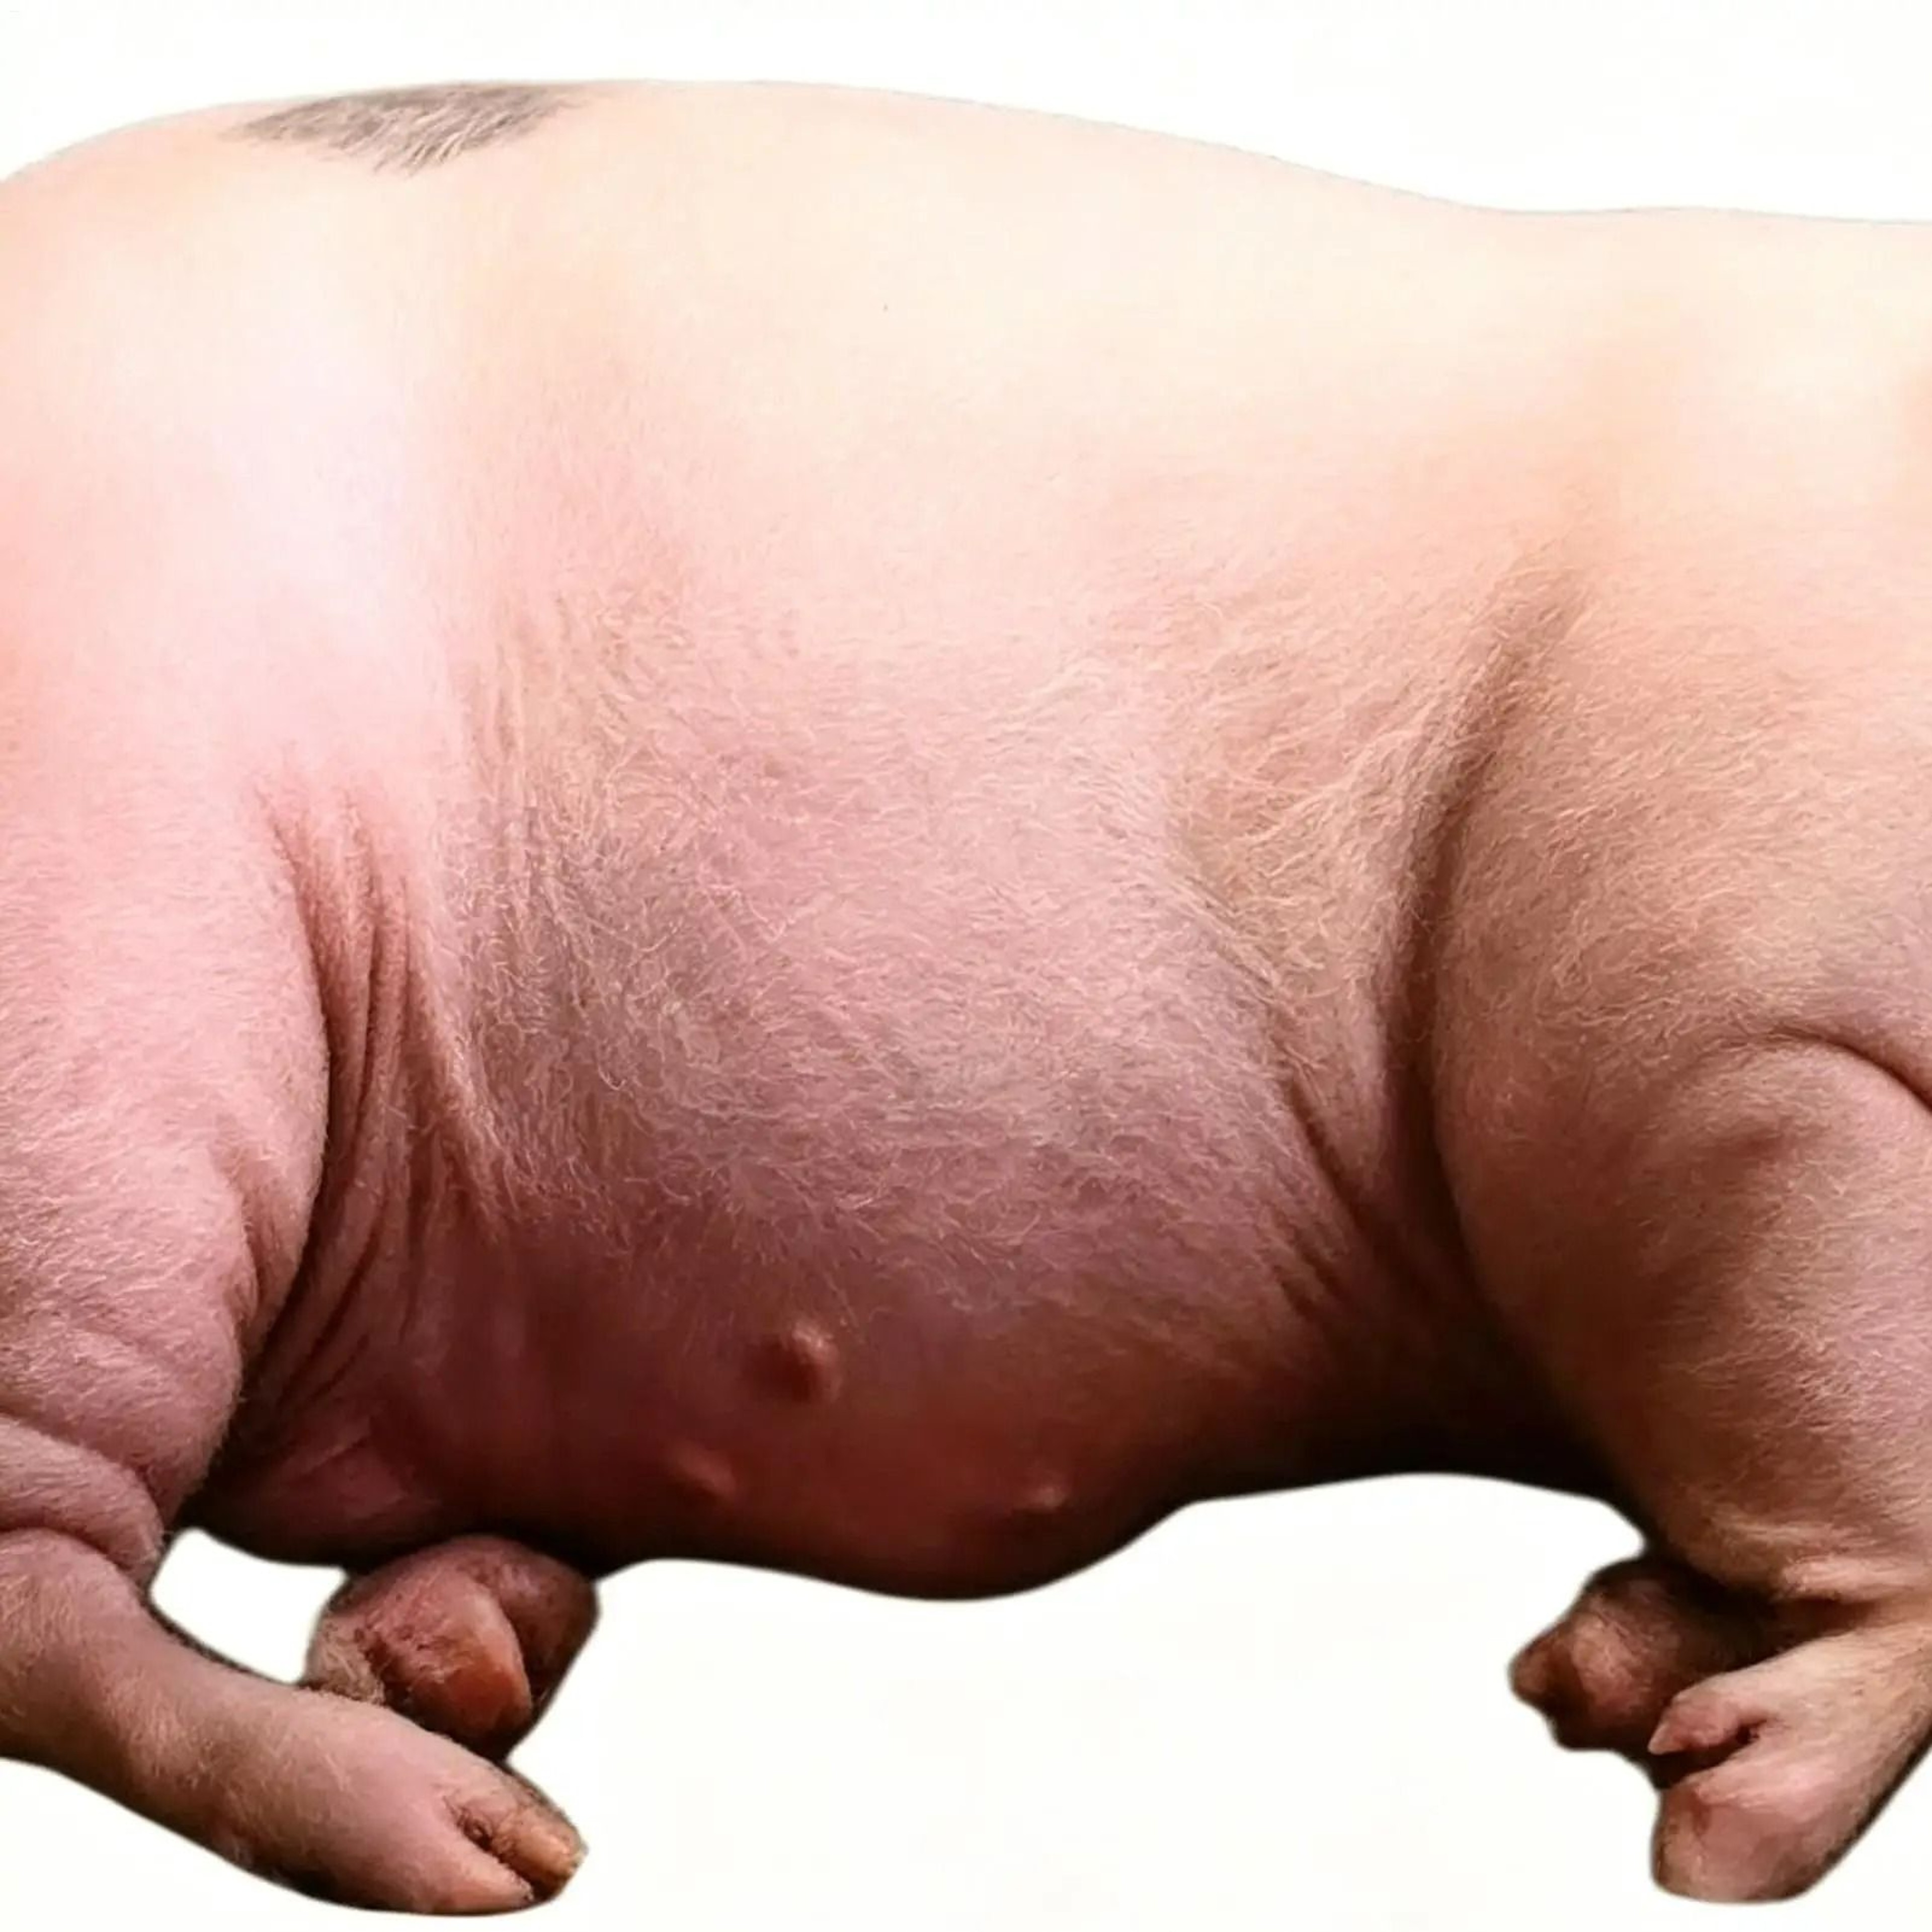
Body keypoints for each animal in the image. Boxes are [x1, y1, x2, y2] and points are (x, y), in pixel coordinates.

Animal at [1, 72, 1929, 1913]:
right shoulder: (1737, 1035)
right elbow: (1853, 1419)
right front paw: (1714, 1836)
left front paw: (1593, 1682)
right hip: (120, 1010)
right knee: (53, 1591)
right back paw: (476, 1847)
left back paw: (460, 1664)